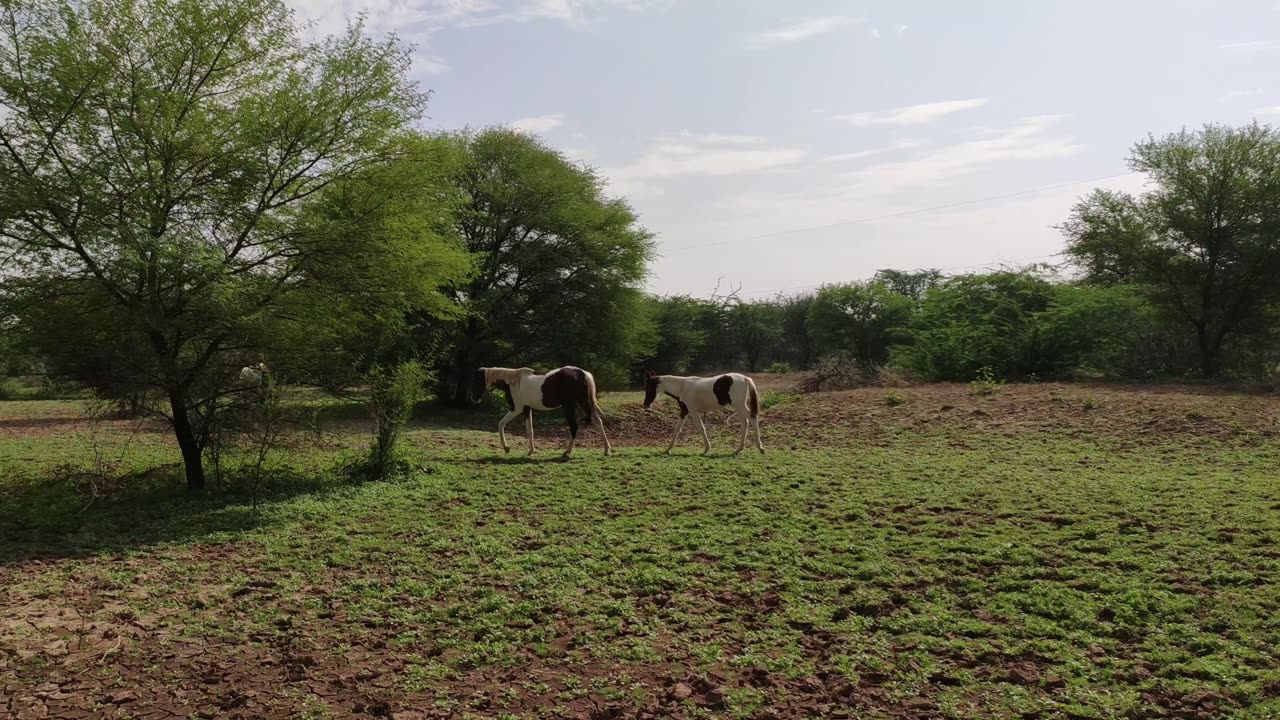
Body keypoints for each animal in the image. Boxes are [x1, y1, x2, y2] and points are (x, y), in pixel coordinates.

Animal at [473, 366, 611, 456]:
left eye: (477, 380)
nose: (474, 399)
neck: (513, 382)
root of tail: (582, 373)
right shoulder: (527, 409)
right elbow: (530, 430)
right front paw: (531, 451)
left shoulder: (516, 409)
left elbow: (501, 424)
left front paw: (507, 448)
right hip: (585, 403)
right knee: (598, 422)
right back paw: (606, 450)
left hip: (571, 406)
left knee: (574, 426)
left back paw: (567, 452)